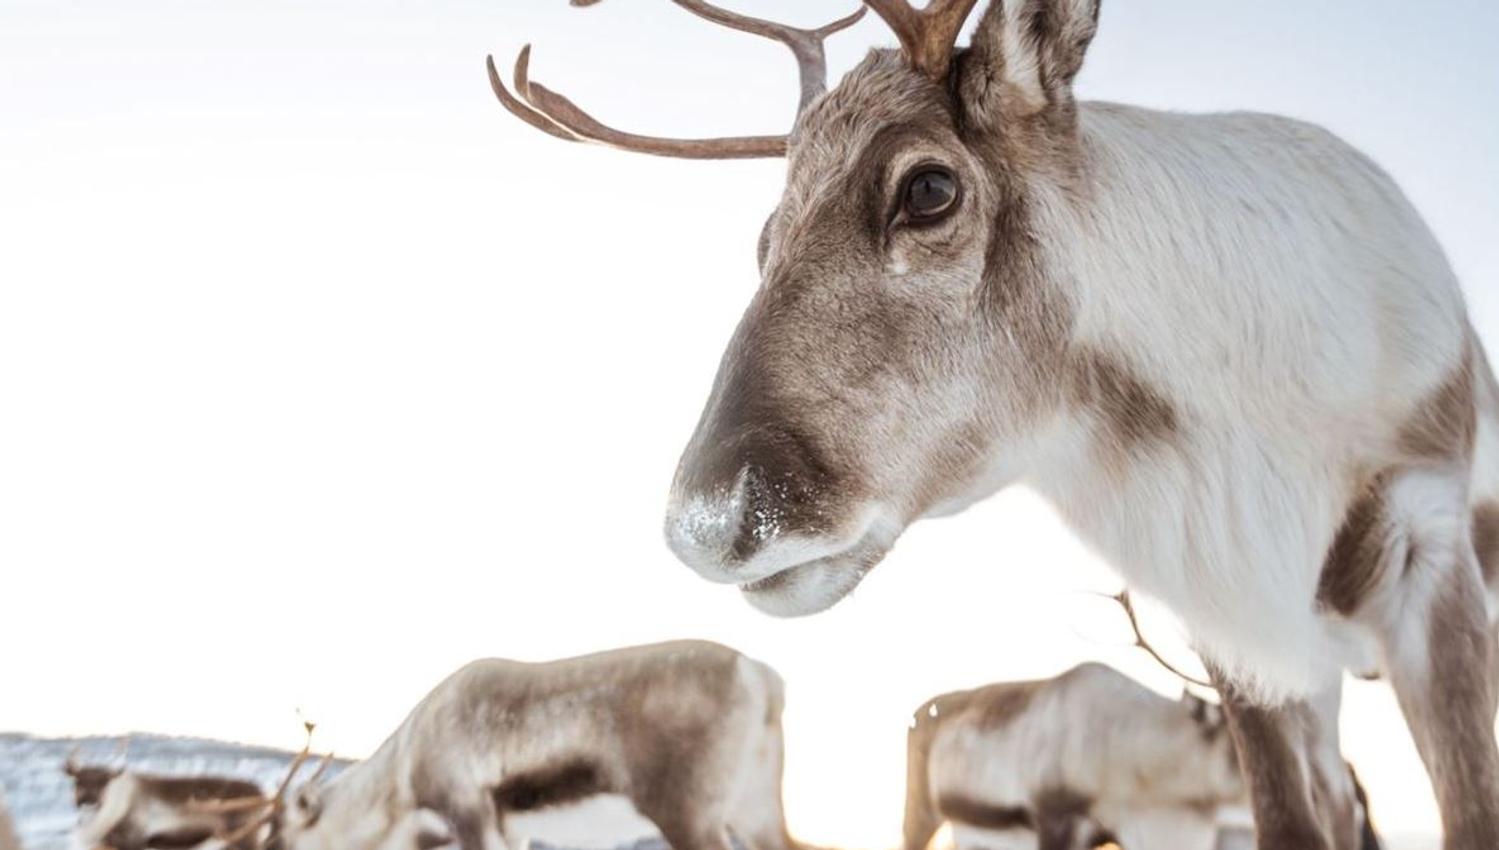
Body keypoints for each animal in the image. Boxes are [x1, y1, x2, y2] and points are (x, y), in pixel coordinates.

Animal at [276, 640, 791, 850]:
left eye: (282, 835)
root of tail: (758, 673)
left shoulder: (469, 812)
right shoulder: (512, 831)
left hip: (689, 819)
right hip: (754, 814)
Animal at [489, 2, 1499, 849]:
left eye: (928, 188)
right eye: (765, 237)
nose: (709, 523)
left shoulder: (1427, 545)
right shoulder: (1237, 631)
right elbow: (1292, 821)